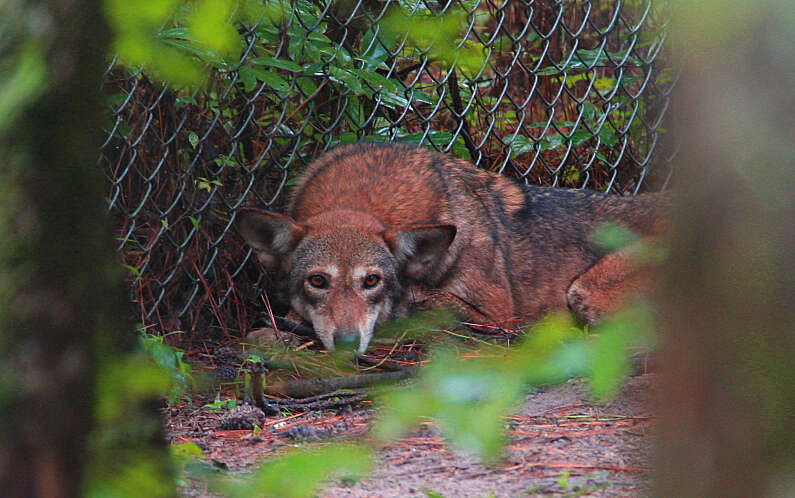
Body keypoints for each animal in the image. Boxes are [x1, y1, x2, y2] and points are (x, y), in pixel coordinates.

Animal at [239, 143, 668, 354]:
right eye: (318, 281)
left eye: (372, 281)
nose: (346, 344)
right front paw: (278, 332)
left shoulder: (494, 314)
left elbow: (418, 299)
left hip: (586, 291)